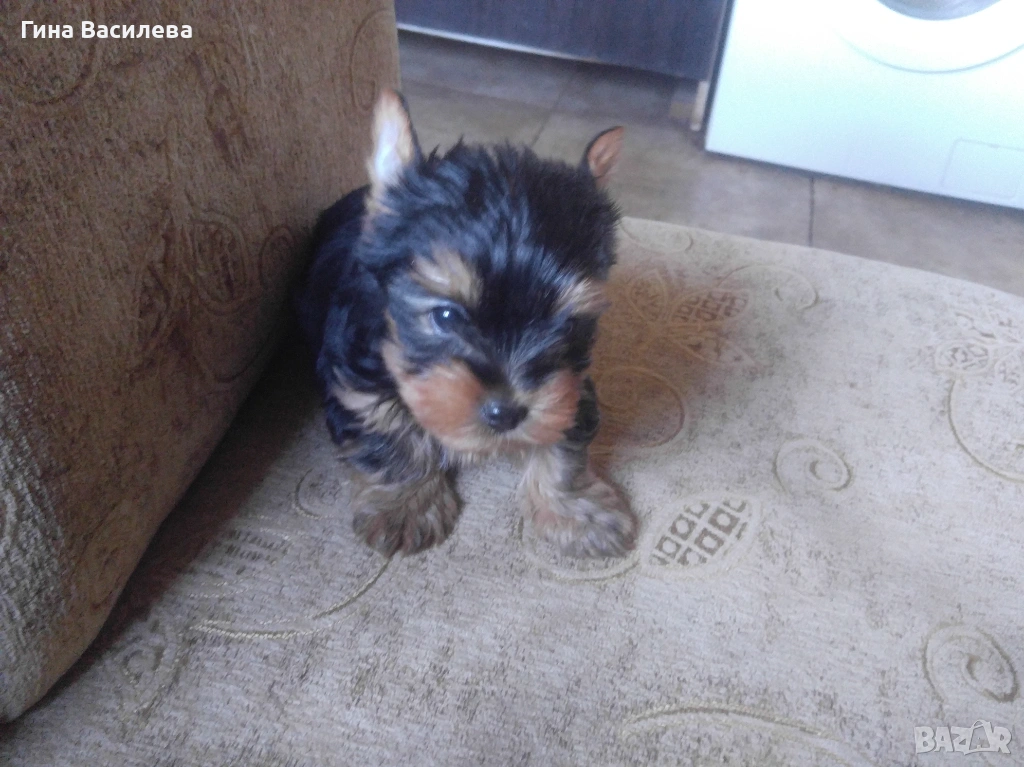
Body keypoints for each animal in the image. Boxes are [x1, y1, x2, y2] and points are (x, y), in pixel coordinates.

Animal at [295, 90, 636, 558]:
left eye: (568, 325)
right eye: (445, 316)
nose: (506, 412)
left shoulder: (569, 388)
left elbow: (562, 437)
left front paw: (575, 510)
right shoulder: (357, 377)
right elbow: (387, 432)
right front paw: (406, 505)